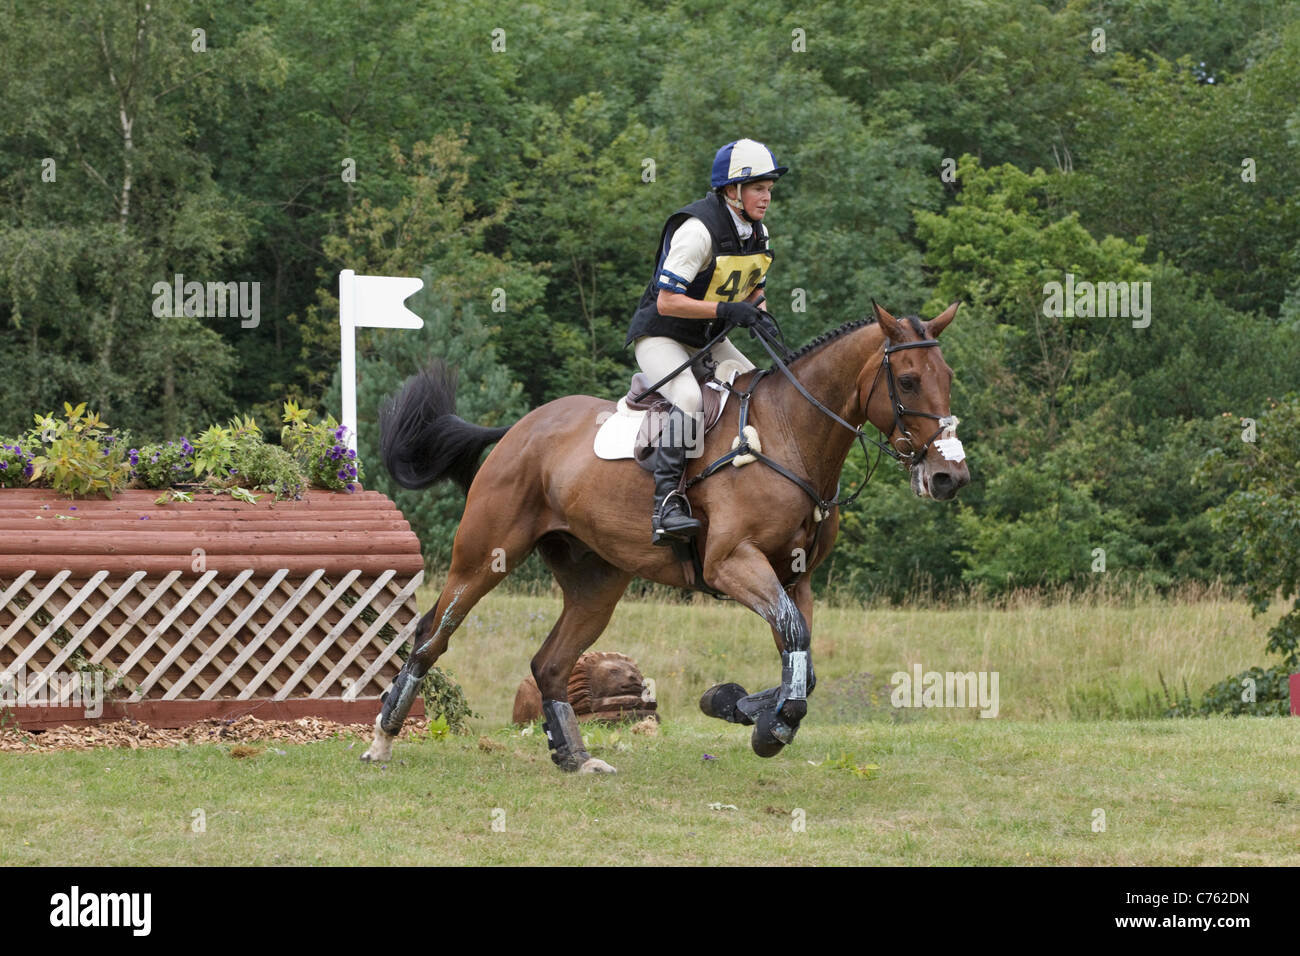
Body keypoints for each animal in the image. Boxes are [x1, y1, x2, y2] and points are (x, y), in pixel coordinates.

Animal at [361, 303, 972, 775]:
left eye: (948, 377)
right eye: (909, 380)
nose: (950, 477)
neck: (789, 436)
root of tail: (519, 428)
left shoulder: (795, 577)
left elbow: (802, 658)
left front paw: (739, 706)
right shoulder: (732, 563)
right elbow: (795, 644)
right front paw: (768, 728)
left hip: (596, 582)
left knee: (551, 663)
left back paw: (576, 758)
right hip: (485, 556)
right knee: (431, 636)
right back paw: (383, 740)